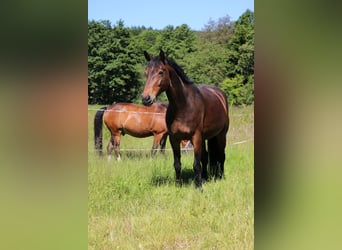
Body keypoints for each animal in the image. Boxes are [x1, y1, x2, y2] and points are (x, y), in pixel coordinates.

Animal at [142, 49, 230, 188]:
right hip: (205, 138)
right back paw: (205, 178)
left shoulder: (196, 137)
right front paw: (179, 185)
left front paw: (199, 187)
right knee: (206, 157)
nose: (146, 98)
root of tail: (220, 94)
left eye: (161, 72)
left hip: (220, 135)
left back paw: (220, 177)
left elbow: (196, 164)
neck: (184, 106)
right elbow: (177, 164)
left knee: (221, 156)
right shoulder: (174, 139)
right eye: (146, 73)